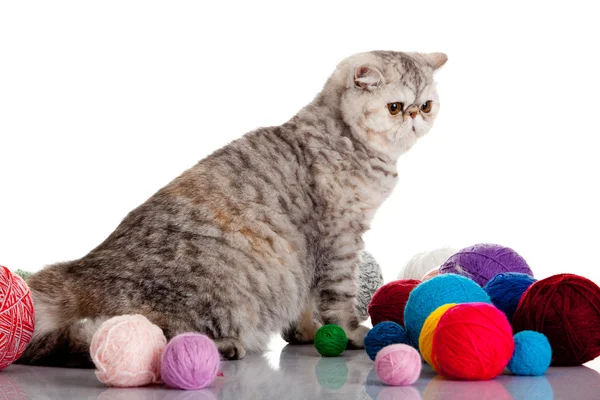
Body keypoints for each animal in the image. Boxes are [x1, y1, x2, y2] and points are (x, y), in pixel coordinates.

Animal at [17, 50, 446, 368]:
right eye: (395, 107)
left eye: (426, 105)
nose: (414, 116)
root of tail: (78, 269)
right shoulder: (340, 237)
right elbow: (337, 297)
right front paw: (351, 333)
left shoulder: (313, 252)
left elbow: (309, 299)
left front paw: (306, 333)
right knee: (113, 336)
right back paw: (220, 346)